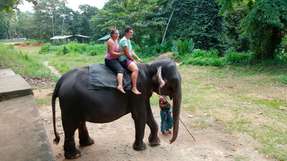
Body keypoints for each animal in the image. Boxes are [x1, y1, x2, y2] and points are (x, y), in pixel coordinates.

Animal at [51, 57, 182, 158]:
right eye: (173, 83)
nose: (170, 141)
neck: (149, 66)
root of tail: (60, 81)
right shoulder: (137, 90)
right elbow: (140, 115)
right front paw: (141, 148)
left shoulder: (143, 93)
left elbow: (148, 115)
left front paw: (155, 144)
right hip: (70, 102)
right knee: (70, 127)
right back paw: (75, 155)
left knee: (79, 122)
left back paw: (88, 144)